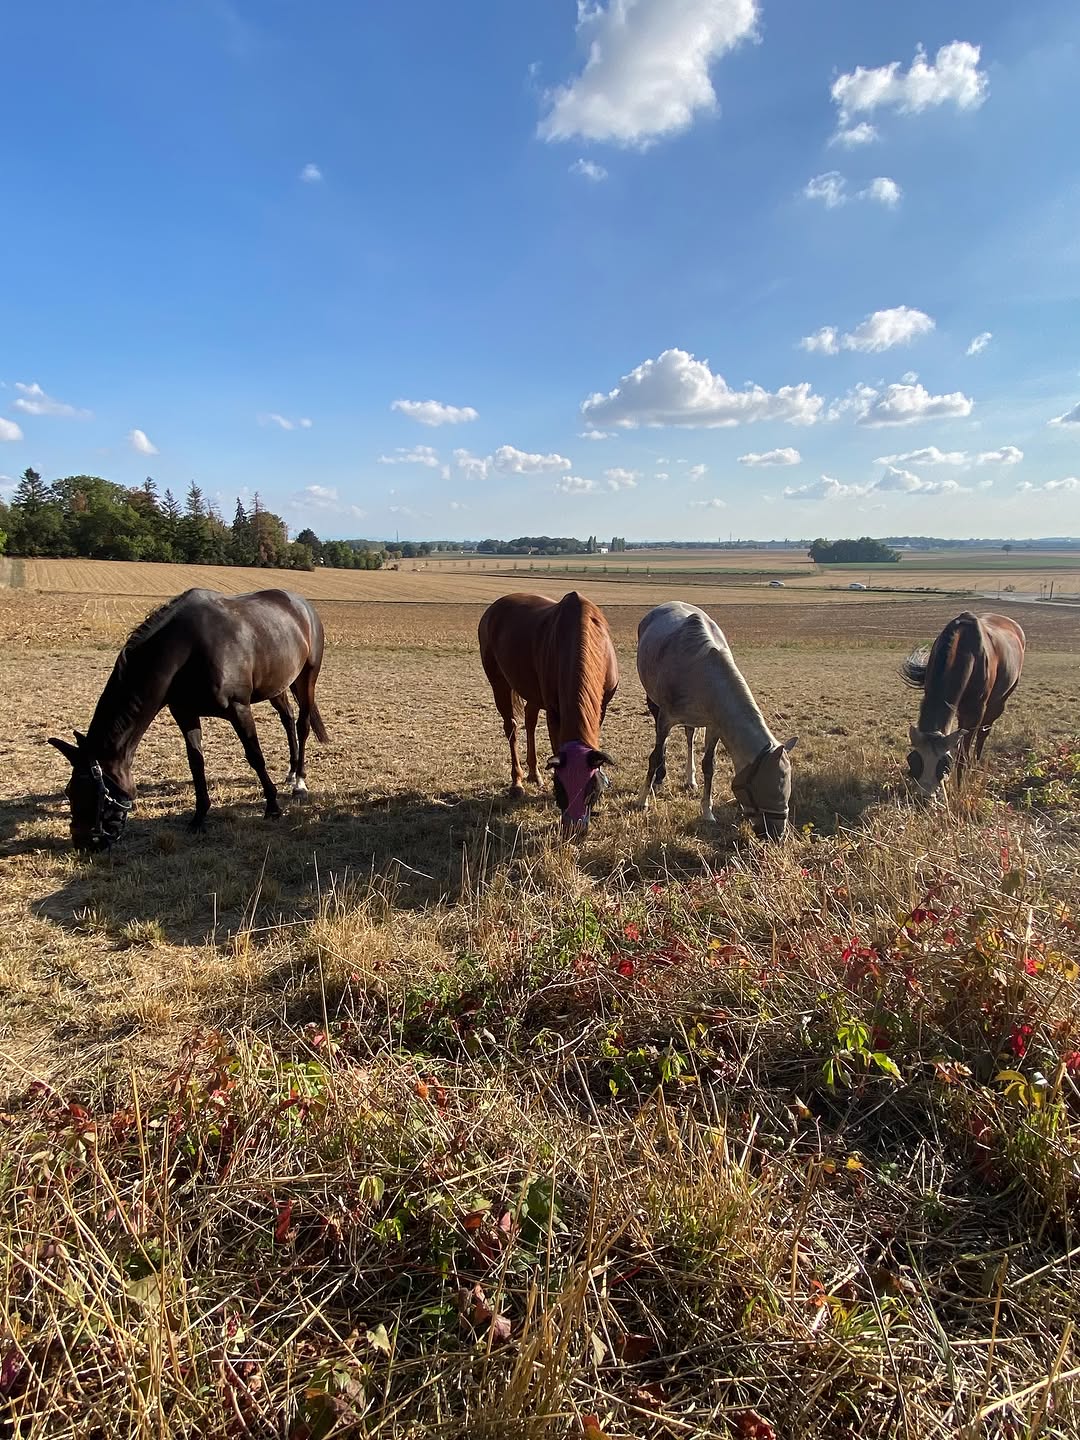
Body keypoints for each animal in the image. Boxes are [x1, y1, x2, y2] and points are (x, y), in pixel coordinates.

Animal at [49, 588, 328, 850]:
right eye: (69, 792)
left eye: (89, 792)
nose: (83, 842)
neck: (188, 649)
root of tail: (302, 605)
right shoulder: (185, 713)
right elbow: (196, 763)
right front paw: (199, 817)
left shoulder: (239, 709)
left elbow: (255, 756)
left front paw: (272, 806)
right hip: (277, 685)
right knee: (287, 719)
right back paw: (291, 772)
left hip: (307, 678)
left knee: (302, 725)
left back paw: (299, 782)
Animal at [478, 591, 618, 834]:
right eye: (560, 789)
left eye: (592, 789)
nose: (574, 830)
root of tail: (493, 609)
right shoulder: (554, 712)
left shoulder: (602, 707)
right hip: (499, 683)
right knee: (511, 727)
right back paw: (517, 782)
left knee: (530, 719)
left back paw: (534, 773)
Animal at [636, 601, 797, 840]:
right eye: (764, 788)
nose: (776, 834)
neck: (702, 672)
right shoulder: (665, 718)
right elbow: (654, 757)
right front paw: (643, 800)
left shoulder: (714, 725)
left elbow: (709, 766)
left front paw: (707, 812)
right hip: (654, 703)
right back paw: (659, 779)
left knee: (690, 736)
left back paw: (690, 779)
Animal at [900, 611, 1025, 797]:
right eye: (913, 761)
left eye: (944, 766)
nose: (925, 797)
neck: (966, 648)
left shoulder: (976, 711)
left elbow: (963, 755)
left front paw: (959, 787)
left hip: (999, 702)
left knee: (983, 734)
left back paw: (976, 763)